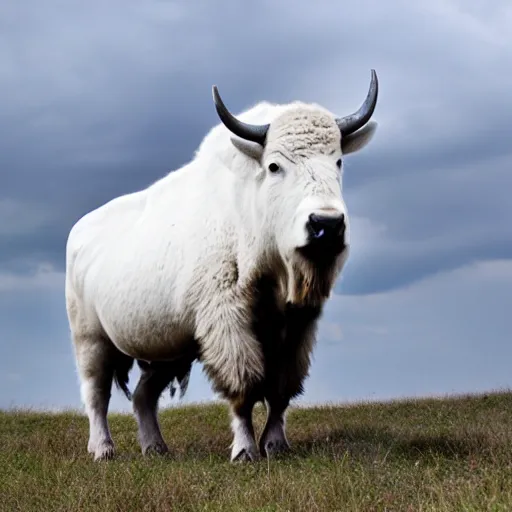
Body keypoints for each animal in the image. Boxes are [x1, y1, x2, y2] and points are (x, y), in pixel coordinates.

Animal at [64, 69, 378, 464]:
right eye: (274, 165)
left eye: (338, 161)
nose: (327, 224)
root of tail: (78, 232)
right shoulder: (228, 320)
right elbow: (244, 387)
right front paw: (244, 450)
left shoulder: (297, 326)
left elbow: (280, 389)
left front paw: (276, 444)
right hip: (91, 339)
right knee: (96, 394)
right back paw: (103, 449)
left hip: (167, 351)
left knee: (143, 396)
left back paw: (156, 448)